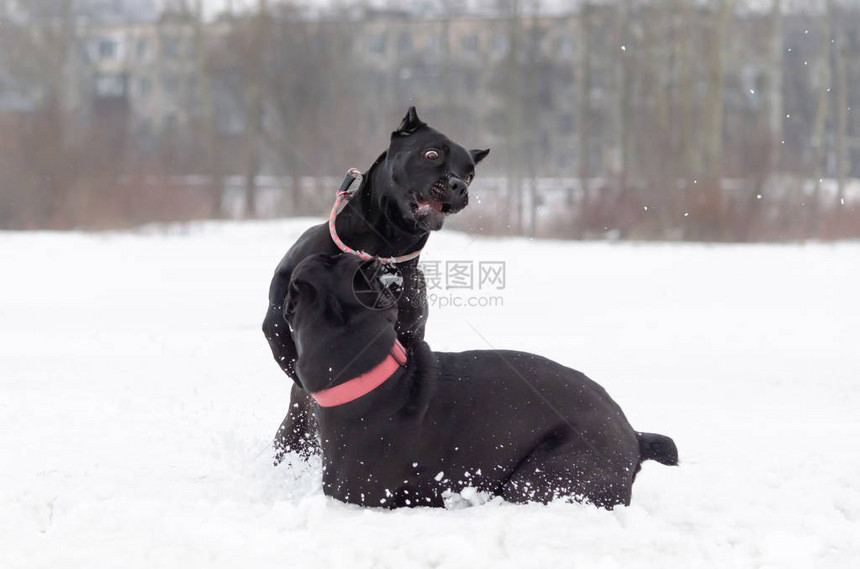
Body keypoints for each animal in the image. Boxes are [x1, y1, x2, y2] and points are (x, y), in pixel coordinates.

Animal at [262, 107, 490, 462]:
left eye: (469, 175)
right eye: (432, 154)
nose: (458, 185)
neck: (383, 250)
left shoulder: (410, 331)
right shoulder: (277, 314)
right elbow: (285, 349)